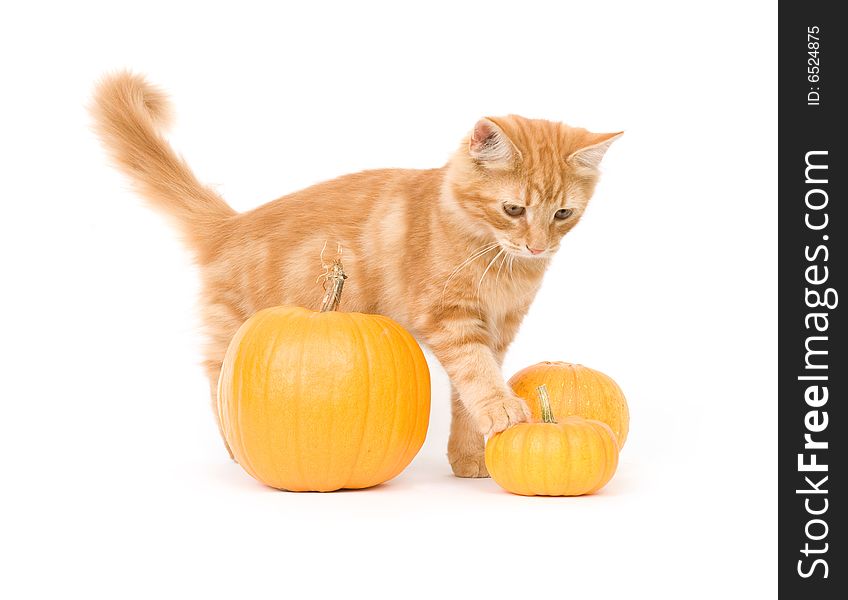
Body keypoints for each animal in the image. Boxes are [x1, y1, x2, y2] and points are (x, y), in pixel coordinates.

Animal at [93, 72, 620, 476]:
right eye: (514, 209)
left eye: (563, 214)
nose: (537, 246)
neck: (498, 262)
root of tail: (231, 223)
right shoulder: (451, 319)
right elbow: (478, 375)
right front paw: (503, 409)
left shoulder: (498, 330)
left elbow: (467, 395)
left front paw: (471, 455)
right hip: (233, 331)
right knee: (216, 383)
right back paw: (238, 454)